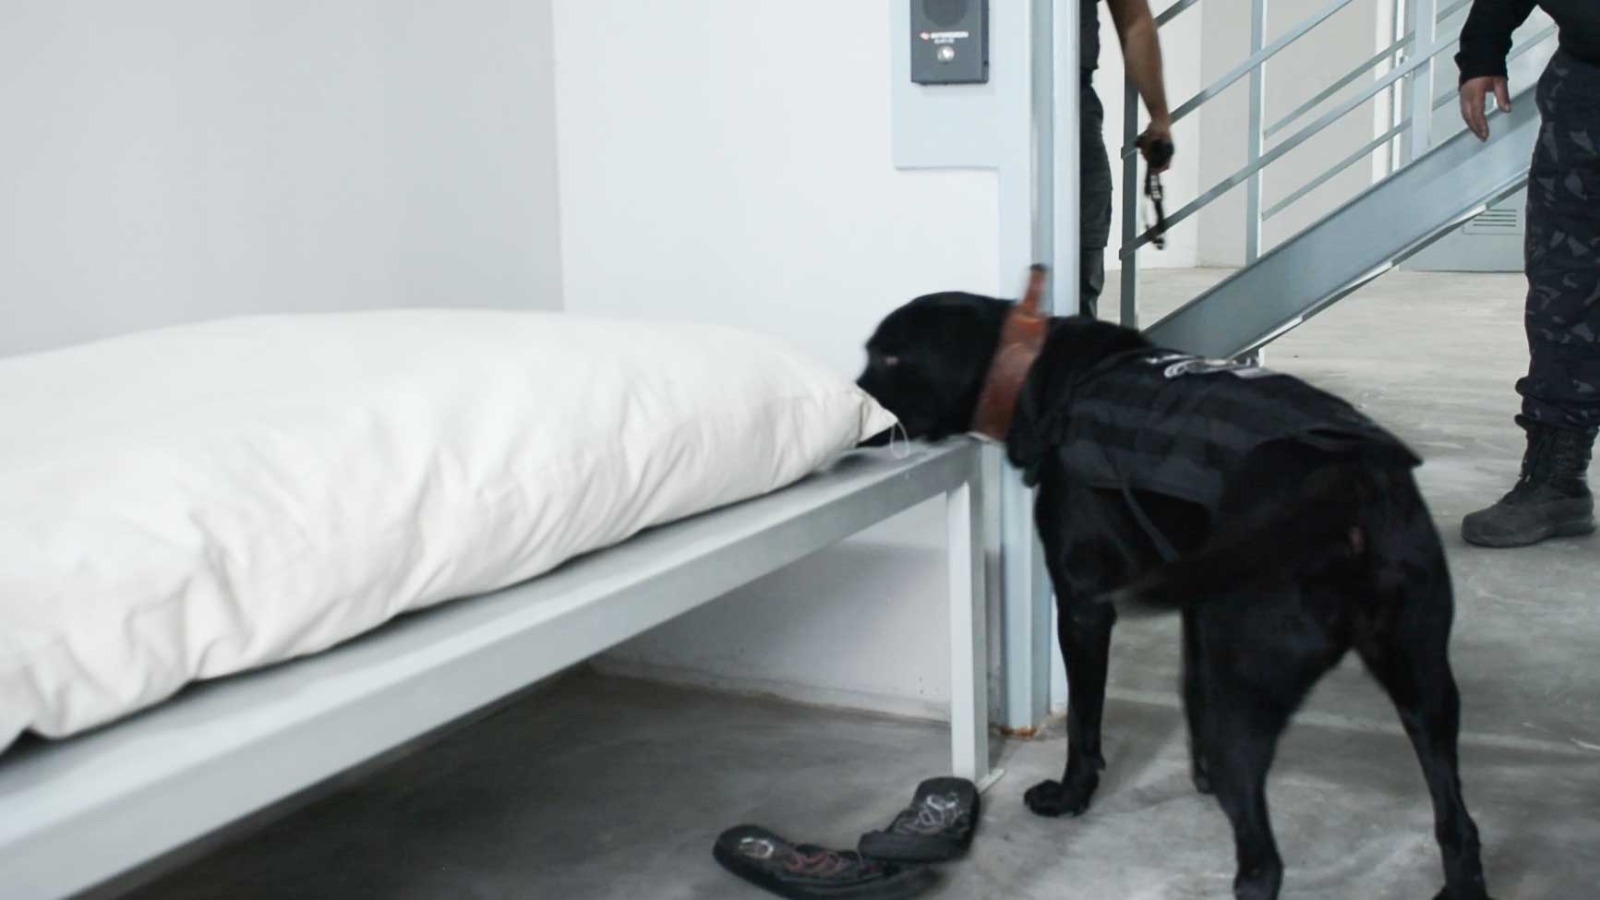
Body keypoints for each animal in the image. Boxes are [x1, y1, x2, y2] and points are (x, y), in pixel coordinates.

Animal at [856, 267, 1491, 900]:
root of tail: (1348, 481)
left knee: (1264, 863)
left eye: (889, 355)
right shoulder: (1197, 608)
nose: (853, 391)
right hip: (1423, 680)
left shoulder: (1084, 604)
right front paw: (1196, 774)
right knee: (1458, 822)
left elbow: (1084, 720)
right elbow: (1189, 689)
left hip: (1249, 693)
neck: (1040, 375)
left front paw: (1072, 794)